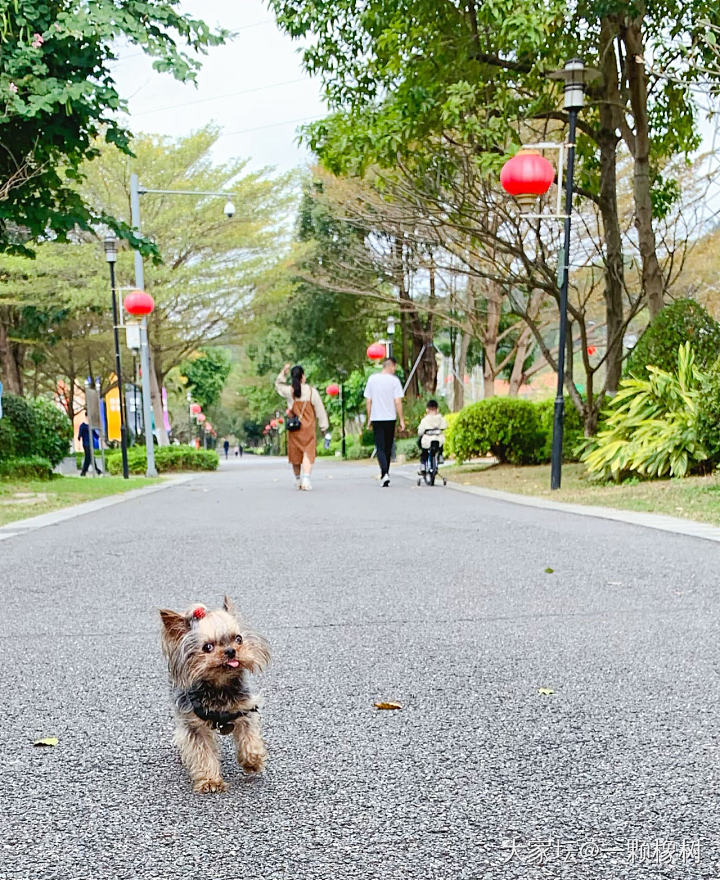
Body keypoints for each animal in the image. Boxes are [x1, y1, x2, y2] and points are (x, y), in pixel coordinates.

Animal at [160, 600, 270, 792]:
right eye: (207, 647)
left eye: (238, 639)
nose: (231, 651)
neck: (219, 685)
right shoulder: (192, 723)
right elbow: (202, 752)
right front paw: (210, 781)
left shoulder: (245, 707)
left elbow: (249, 735)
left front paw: (252, 761)